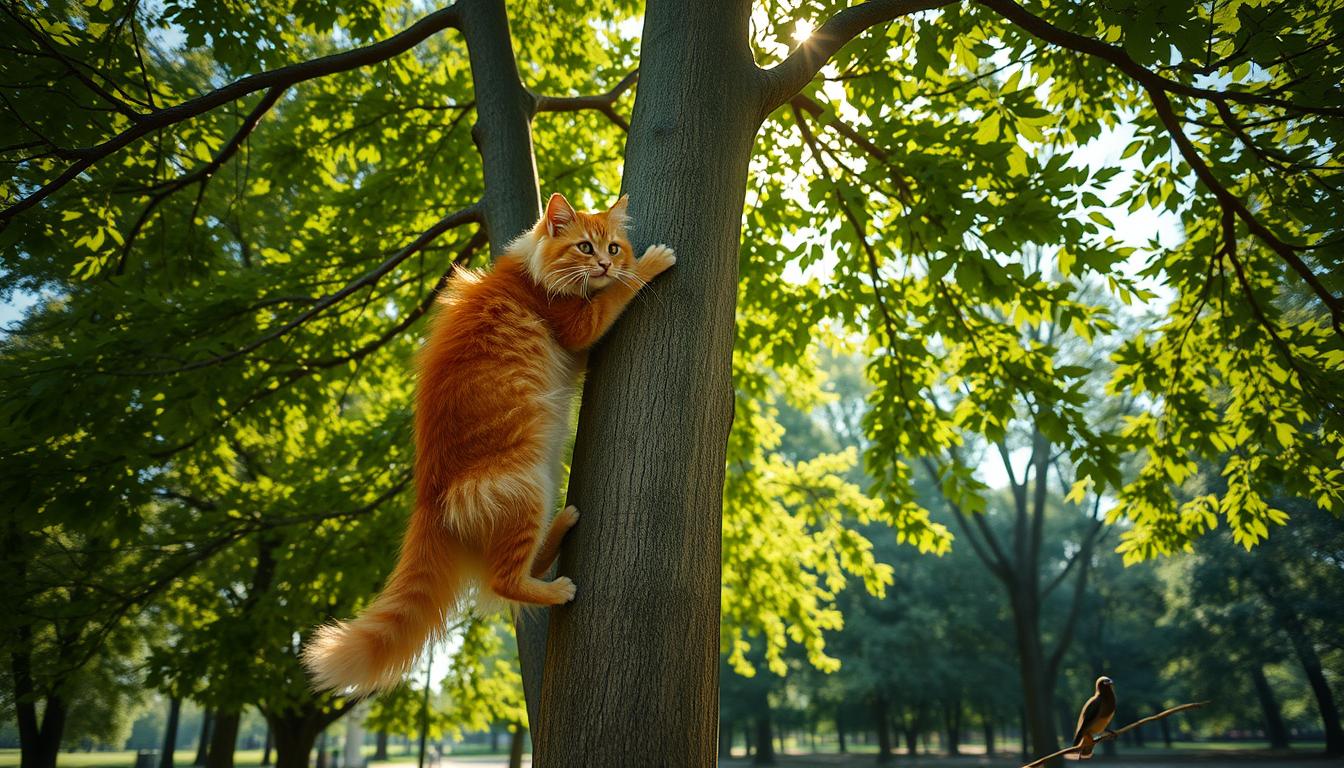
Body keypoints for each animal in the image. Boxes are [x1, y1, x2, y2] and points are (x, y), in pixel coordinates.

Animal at [298, 193, 666, 699]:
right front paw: (651, 262)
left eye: (612, 246)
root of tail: (427, 493)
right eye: (585, 248)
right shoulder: (579, 325)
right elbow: (614, 298)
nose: (608, 264)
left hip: (541, 481)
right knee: (503, 581)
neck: (529, 275)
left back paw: (563, 525)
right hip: (527, 484)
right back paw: (557, 588)